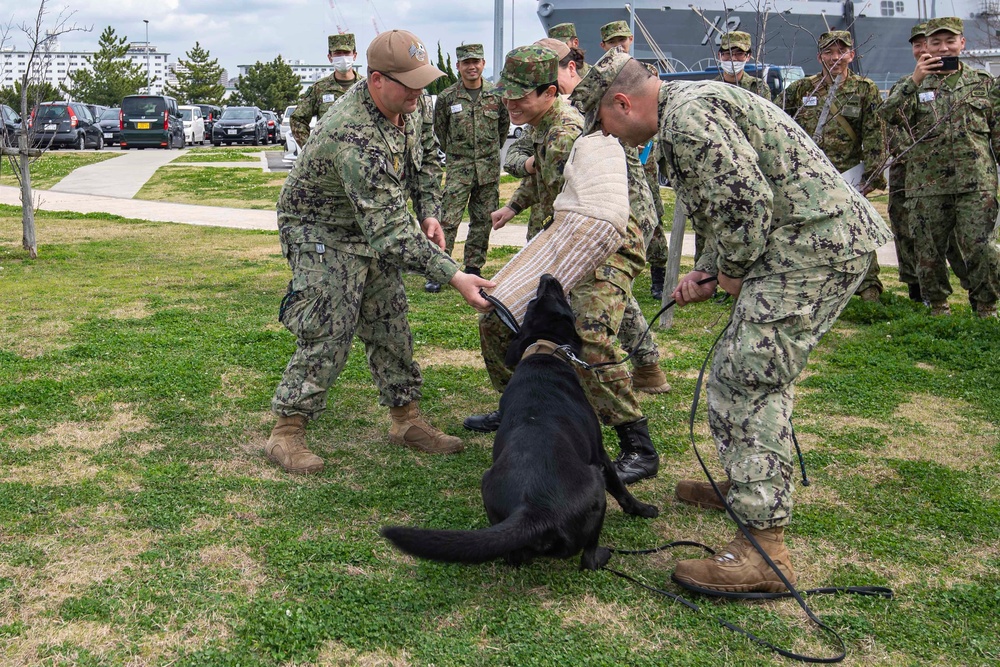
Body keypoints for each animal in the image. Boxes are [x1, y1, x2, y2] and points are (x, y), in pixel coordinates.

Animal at [380, 274, 656, 572]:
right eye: (551, 298)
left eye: (534, 302)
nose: (547, 276)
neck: (542, 354)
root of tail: (534, 509)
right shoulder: (600, 454)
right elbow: (620, 487)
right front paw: (643, 509)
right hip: (594, 485)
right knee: (588, 558)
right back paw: (605, 554)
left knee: (514, 557)